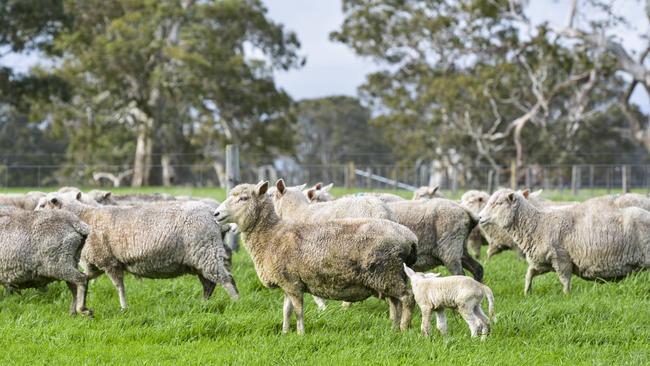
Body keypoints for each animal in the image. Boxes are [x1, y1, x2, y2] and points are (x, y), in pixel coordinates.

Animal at [36, 192, 238, 308]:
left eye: (43, 205)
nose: (32, 213)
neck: (85, 217)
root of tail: (213, 216)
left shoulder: (109, 261)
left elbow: (119, 286)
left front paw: (124, 308)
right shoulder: (98, 264)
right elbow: (86, 278)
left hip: (207, 251)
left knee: (226, 279)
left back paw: (236, 302)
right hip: (200, 258)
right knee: (209, 283)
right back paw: (204, 304)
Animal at [213, 181, 416, 334]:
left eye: (243, 198)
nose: (216, 214)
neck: (271, 235)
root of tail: (409, 236)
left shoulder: (293, 284)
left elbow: (298, 311)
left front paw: (300, 333)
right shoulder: (287, 282)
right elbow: (286, 311)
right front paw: (285, 333)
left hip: (386, 272)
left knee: (407, 298)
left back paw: (404, 328)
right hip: (389, 275)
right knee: (396, 302)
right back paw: (393, 328)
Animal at [476, 189, 648, 294]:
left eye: (497, 203)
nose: (479, 217)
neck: (538, 224)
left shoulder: (561, 258)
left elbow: (564, 280)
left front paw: (567, 296)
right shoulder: (543, 261)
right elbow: (529, 273)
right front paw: (527, 293)